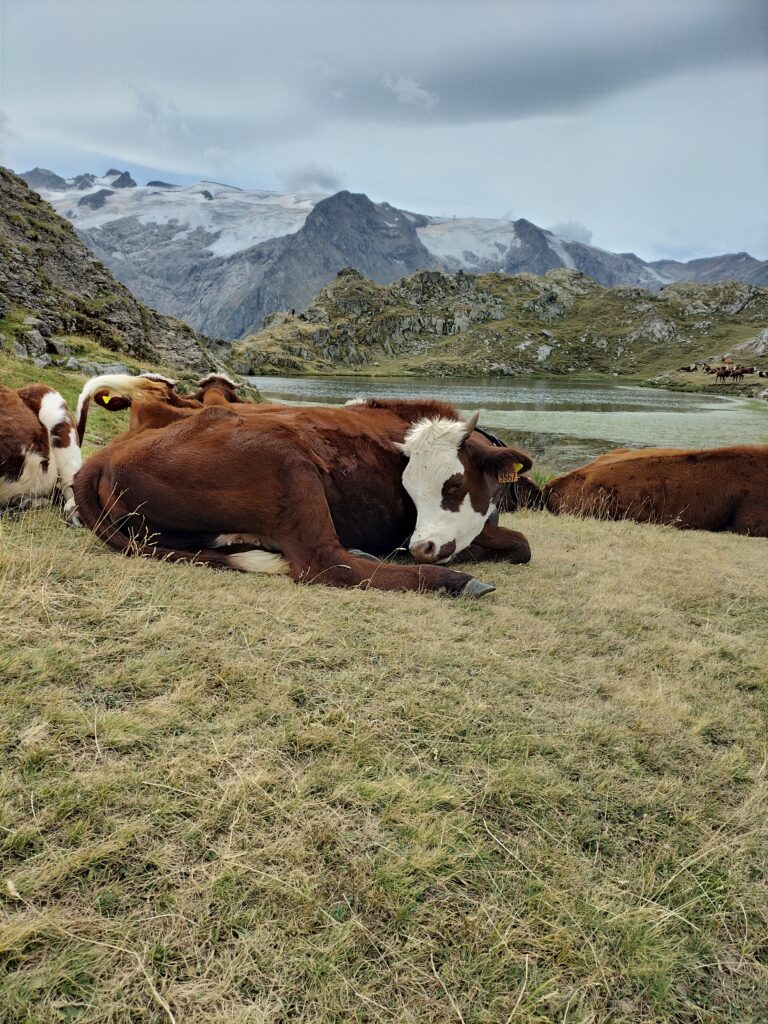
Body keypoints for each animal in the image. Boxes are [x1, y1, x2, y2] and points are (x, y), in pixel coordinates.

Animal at [72, 376, 534, 596]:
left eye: (452, 486)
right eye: (411, 492)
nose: (420, 548)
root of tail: (104, 457)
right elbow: (523, 543)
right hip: (290, 464)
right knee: (327, 564)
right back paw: (454, 581)